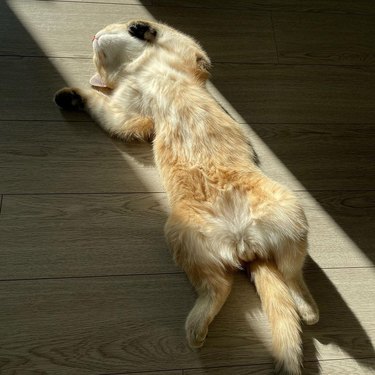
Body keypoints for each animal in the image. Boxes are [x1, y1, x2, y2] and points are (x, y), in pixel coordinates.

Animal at [55, 20, 320, 375]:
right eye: (97, 58)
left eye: (107, 28)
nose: (94, 36)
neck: (142, 69)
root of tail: (244, 245)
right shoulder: (128, 116)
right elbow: (100, 106)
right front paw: (70, 96)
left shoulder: (191, 60)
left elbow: (174, 36)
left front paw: (141, 28)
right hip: (183, 238)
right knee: (220, 288)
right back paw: (196, 330)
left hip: (289, 210)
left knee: (292, 278)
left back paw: (306, 309)